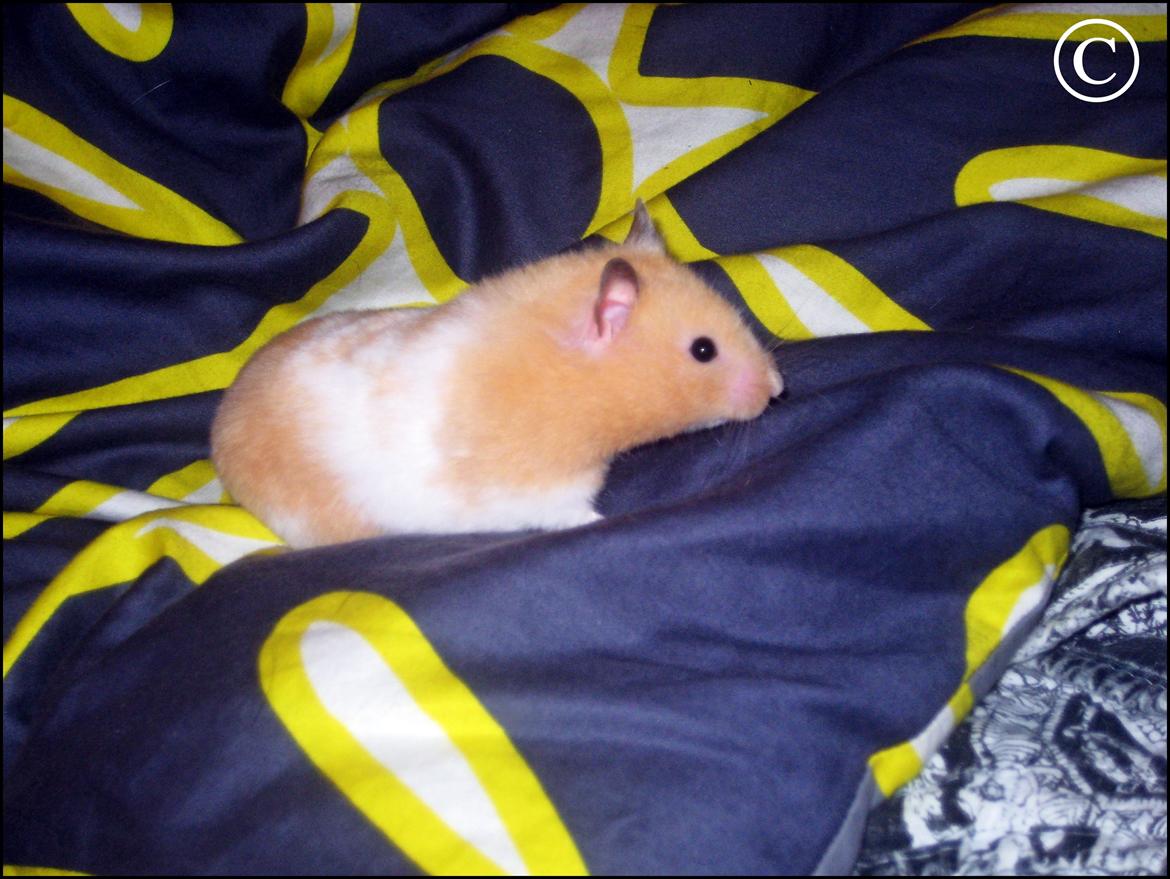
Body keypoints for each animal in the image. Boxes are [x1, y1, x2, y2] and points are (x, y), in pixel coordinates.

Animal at [210, 202, 784, 547]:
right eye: (704, 350)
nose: (778, 389)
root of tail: (220, 430)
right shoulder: (542, 490)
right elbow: (573, 515)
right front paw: (605, 522)